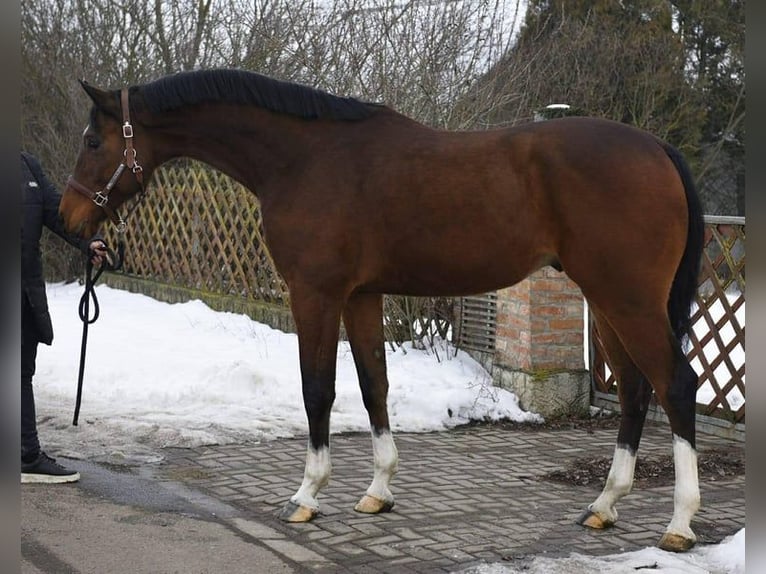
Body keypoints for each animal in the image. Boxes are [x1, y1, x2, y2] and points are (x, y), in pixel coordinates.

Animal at [59, 68, 704, 553]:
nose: (69, 217)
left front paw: (307, 495)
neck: (304, 157)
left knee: (676, 385)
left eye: (93, 142)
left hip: (627, 298)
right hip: (607, 300)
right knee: (634, 391)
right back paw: (604, 505)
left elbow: (317, 388)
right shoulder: (362, 295)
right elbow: (374, 384)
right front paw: (378, 491)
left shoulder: (315, 293)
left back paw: (678, 525)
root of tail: (657, 148)